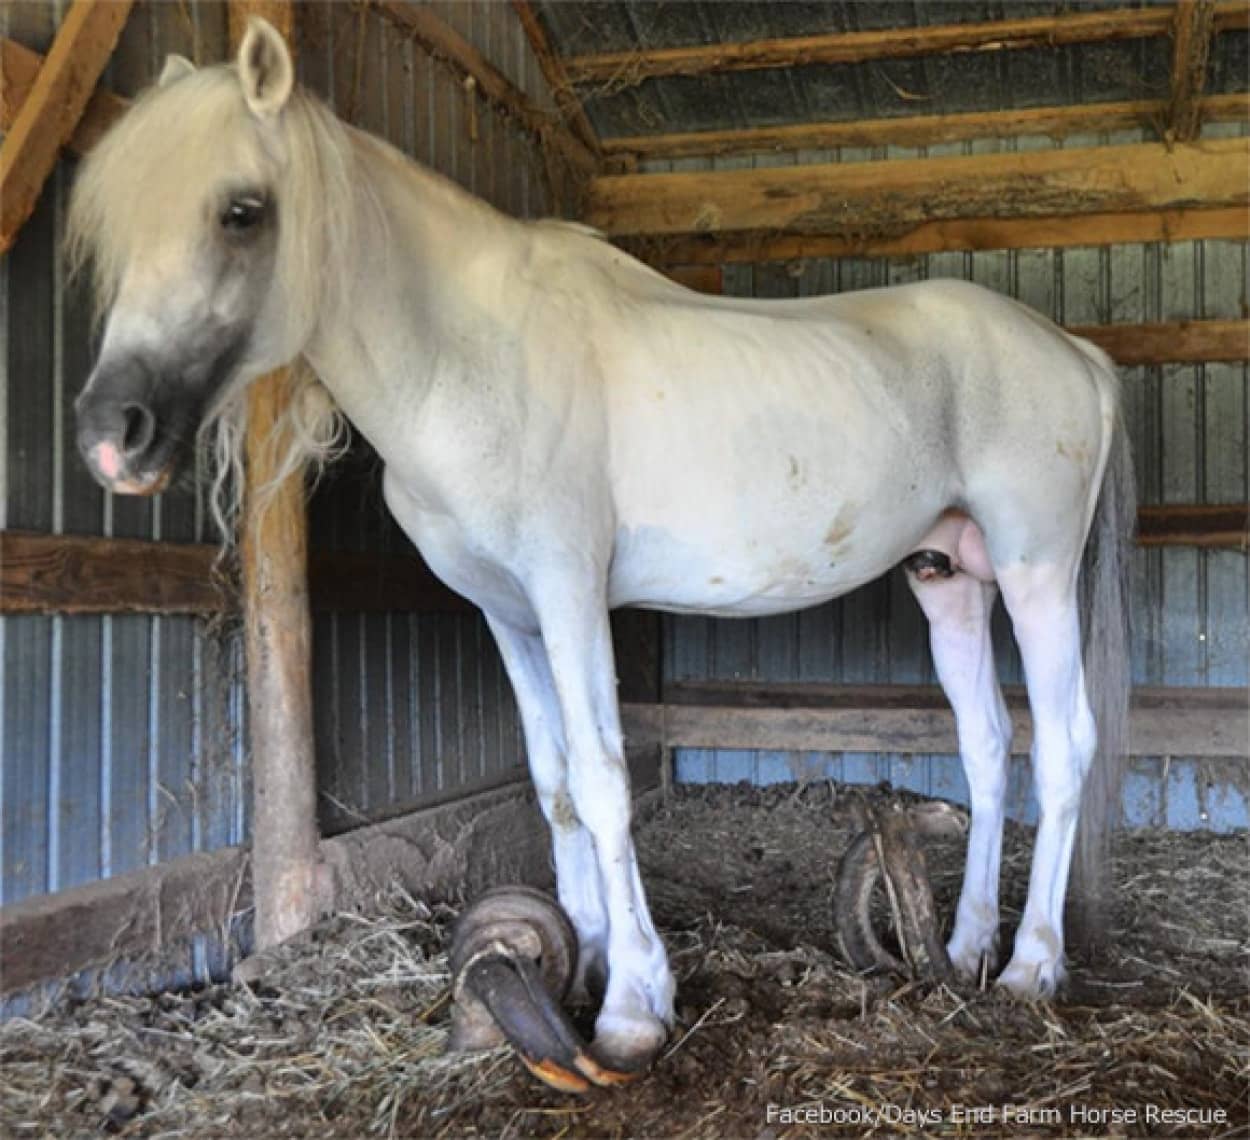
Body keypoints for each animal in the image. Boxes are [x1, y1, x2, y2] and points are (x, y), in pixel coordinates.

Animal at [73, 20, 1140, 1080]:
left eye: (241, 212)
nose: (112, 434)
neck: (471, 359)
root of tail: (1074, 354)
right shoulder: (508, 615)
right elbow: (554, 790)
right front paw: (574, 965)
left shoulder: (569, 595)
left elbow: (601, 778)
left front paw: (633, 1006)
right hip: (951, 581)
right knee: (989, 746)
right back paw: (963, 949)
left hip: (1037, 577)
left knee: (1065, 746)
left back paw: (1031, 967)